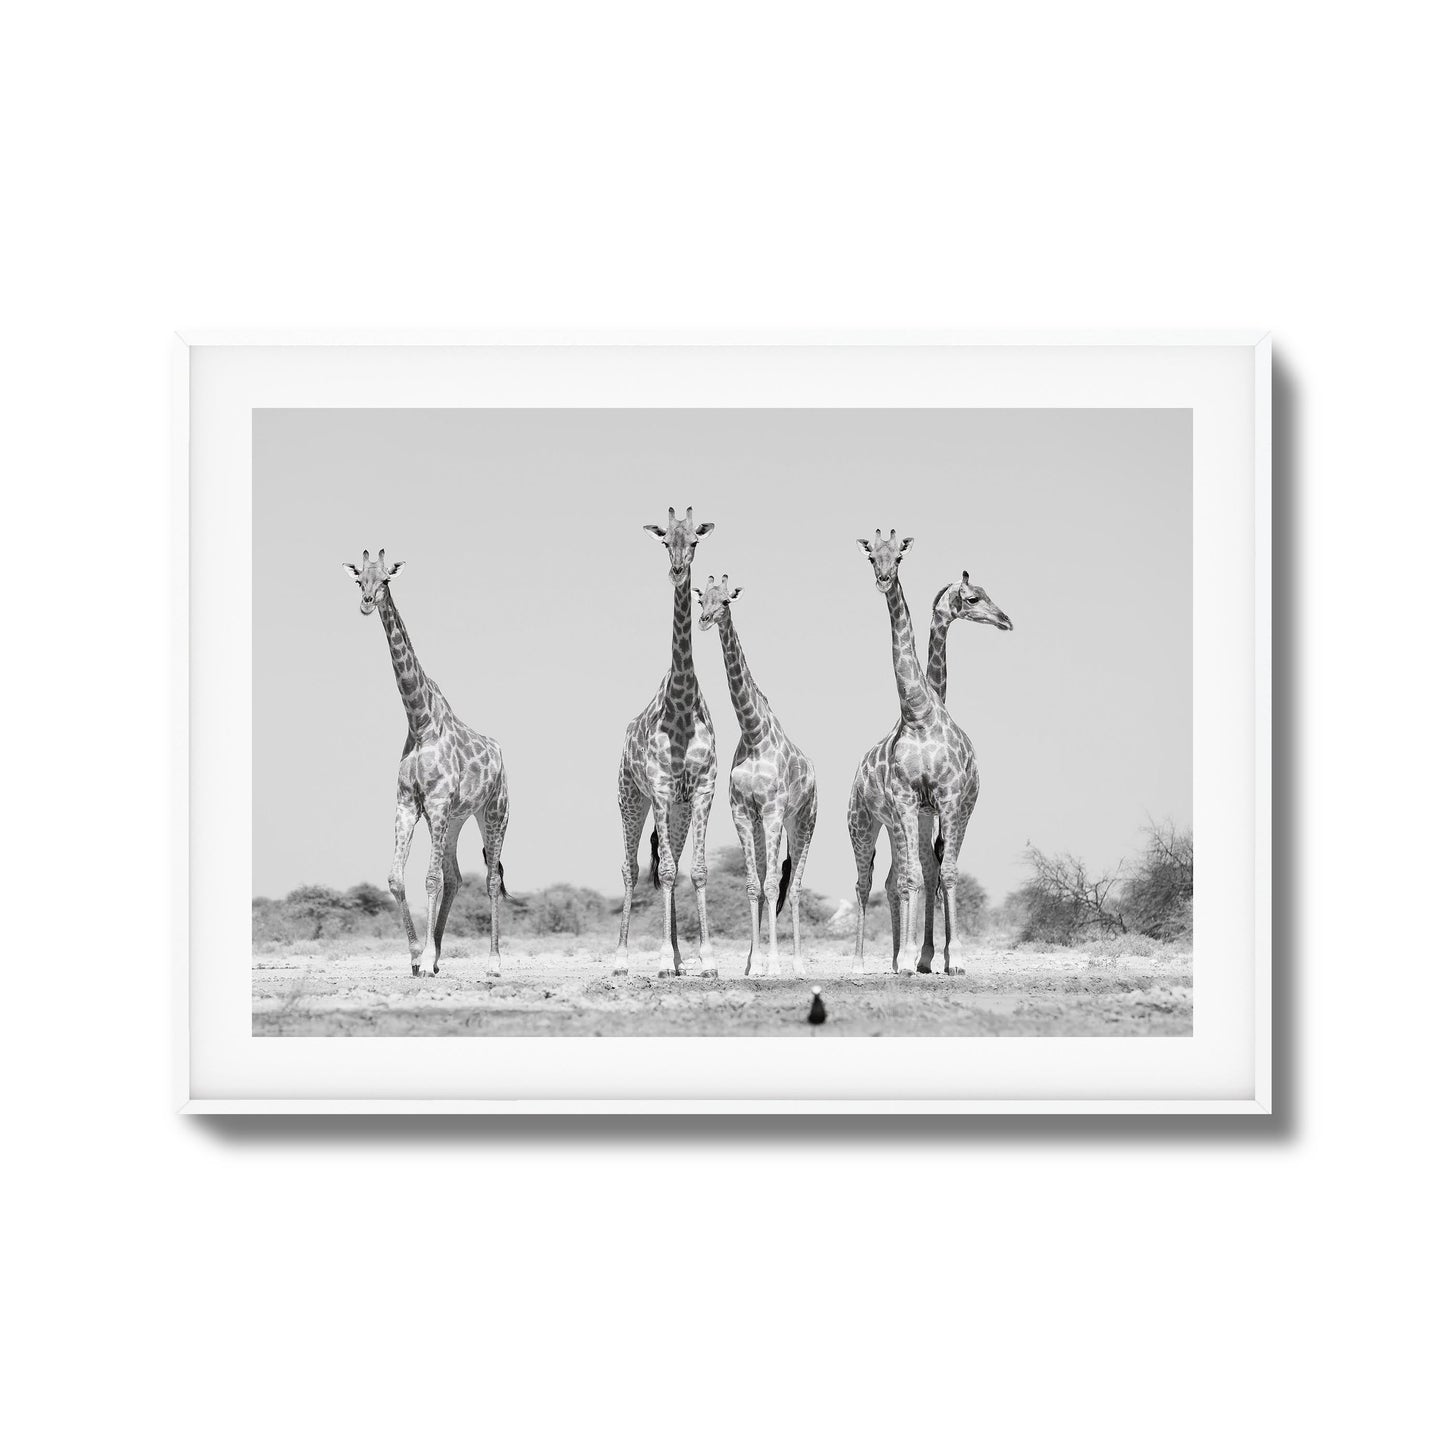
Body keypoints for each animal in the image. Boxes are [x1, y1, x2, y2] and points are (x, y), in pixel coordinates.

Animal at [342, 549, 510, 976]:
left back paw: (493, 962)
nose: (367, 602)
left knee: (490, 879)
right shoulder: (408, 805)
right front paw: (419, 955)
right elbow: (396, 878)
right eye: (359, 579)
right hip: (456, 820)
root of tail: (500, 755)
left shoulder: (434, 804)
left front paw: (427, 953)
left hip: (494, 812)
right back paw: (436, 958)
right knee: (456, 877)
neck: (420, 722)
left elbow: (430, 879)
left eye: (386, 579)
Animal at [696, 574, 818, 977]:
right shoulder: (742, 811)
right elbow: (753, 885)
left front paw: (775, 965)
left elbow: (771, 886)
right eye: (701, 599)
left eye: (726, 601)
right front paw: (753, 964)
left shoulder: (773, 810)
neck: (752, 733)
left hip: (803, 822)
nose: (704, 620)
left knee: (793, 887)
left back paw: (797, 964)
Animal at [845, 532, 1011, 973]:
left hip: (934, 815)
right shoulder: (907, 801)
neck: (918, 712)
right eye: (872, 556)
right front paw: (911, 957)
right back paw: (865, 962)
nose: (1005, 619)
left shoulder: (947, 800)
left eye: (899, 556)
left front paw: (950, 958)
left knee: (911, 875)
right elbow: (915, 878)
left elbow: (943, 874)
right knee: (869, 881)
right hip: (863, 821)